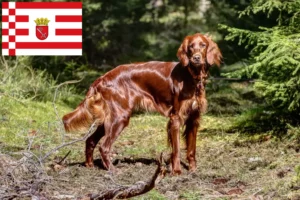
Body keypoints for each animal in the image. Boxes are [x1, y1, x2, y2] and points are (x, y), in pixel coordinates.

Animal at [62, 33, 221, 175]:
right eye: (191, 47)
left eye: (203, 45)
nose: (196, 58)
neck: (192, 77)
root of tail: (103, 77)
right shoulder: (175, 118)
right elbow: (176, 150)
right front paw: (176, 171)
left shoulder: (194, 118)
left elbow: (192, 149)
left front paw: (193, 169)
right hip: (120, 117)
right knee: (104, 146)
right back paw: (113, 170)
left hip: (110, 118)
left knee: (90, 140)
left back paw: (89, 165)